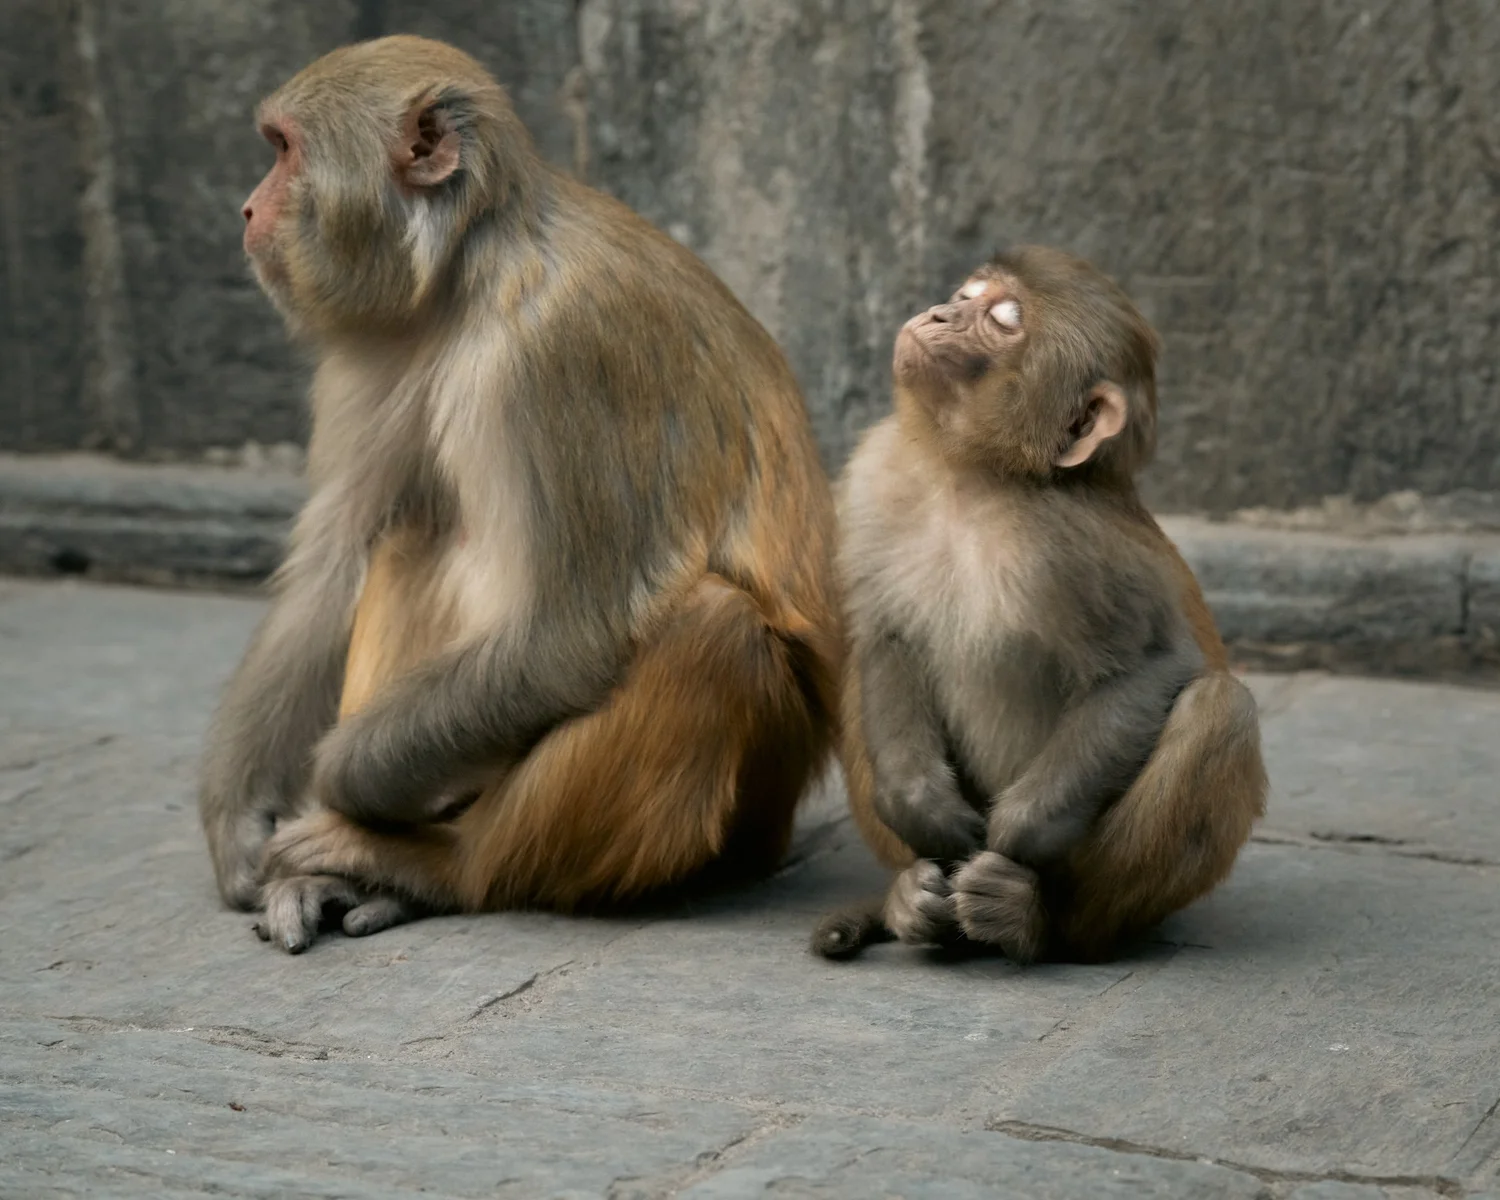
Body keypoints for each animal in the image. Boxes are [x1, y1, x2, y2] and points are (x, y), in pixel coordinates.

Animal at [197, 35, 840, 953]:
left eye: (283, 150)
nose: (248, 210)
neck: (468, 271)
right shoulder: (375, 350)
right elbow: (331, 566)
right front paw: (240, 816)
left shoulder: (559, 353)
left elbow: (569, 634)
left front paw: (335, 780)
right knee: (411, 532)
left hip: (755, 807)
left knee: (713, 634)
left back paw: (435, 865)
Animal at [811, 245, 1267, 965]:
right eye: (965, 296)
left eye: (1003, 319)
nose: (938, 313)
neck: (969, 478)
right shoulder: (876, 475)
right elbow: (884, 637)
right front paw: (923, 810)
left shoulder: (1073, 545)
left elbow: (1152, 667)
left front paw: (1013, 838)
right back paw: (910, 896)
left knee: (1220, 709)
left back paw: (1033, 919)